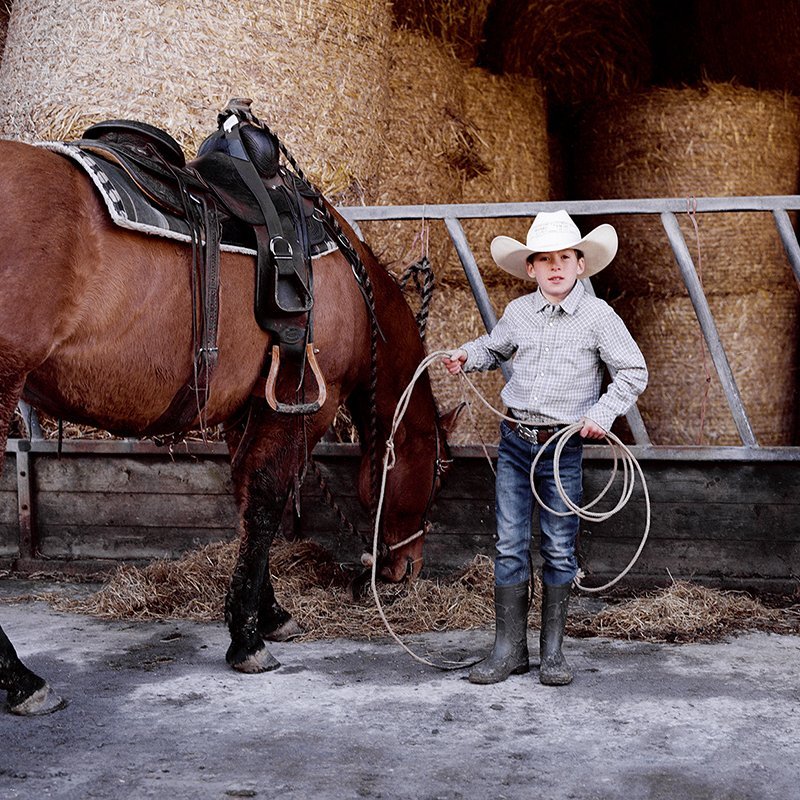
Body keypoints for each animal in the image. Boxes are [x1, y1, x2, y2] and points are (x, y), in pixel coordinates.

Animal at [0, 139, 454, 676]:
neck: (349, 285)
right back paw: (19, 679)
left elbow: (247, 502)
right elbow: (267, 502)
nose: (408, 568)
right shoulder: (300, 405)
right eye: (437, 477)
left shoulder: (251, 407)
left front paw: (269, 613)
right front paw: (247, 638)